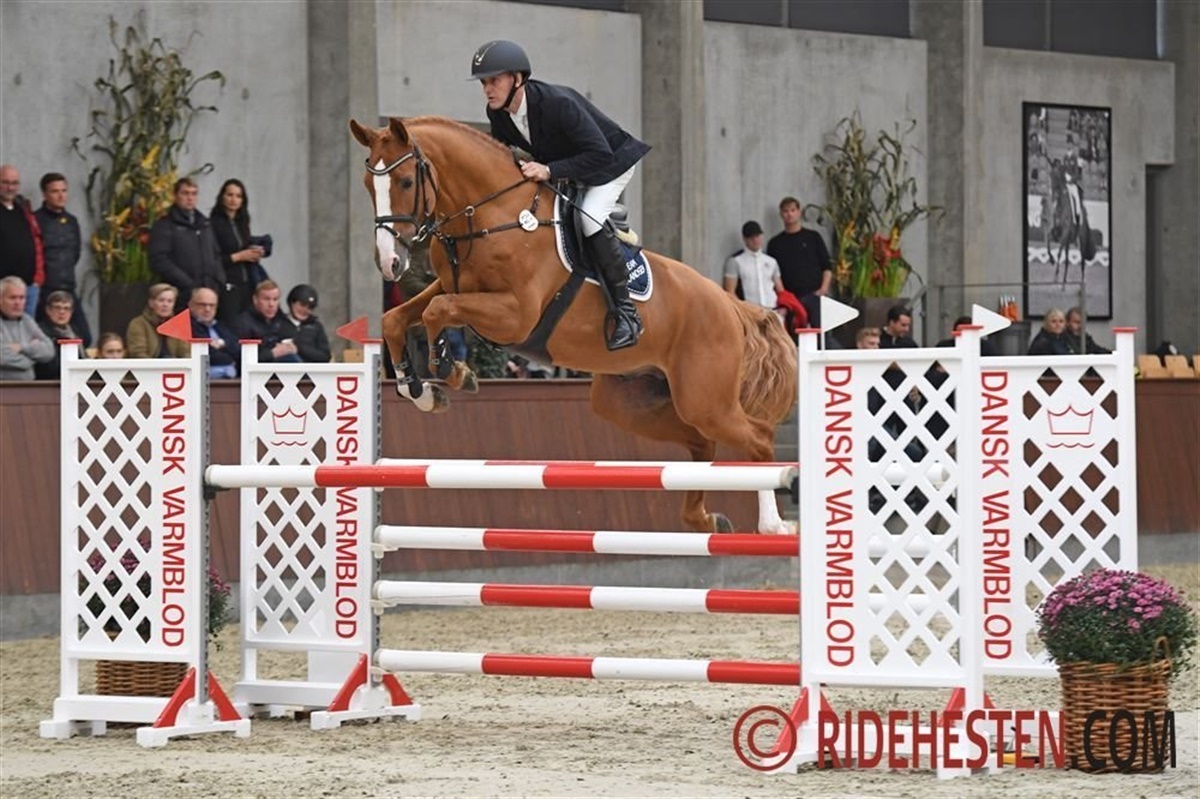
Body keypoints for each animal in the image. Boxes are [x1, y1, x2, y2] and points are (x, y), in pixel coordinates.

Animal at [348, 116, 797, 535]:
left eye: (406, 180)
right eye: (369, 185)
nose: (389, 262)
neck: (493, 215)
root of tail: (729, 304)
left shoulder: (516, 314)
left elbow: (435, 313)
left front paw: (449, 370)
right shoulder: (451, 285)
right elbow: (398, 318)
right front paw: (422, 390)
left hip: (704, 399)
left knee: (757, 437)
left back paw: (773, 525)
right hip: (630, 401)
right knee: (702, 442)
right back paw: (707, 520)